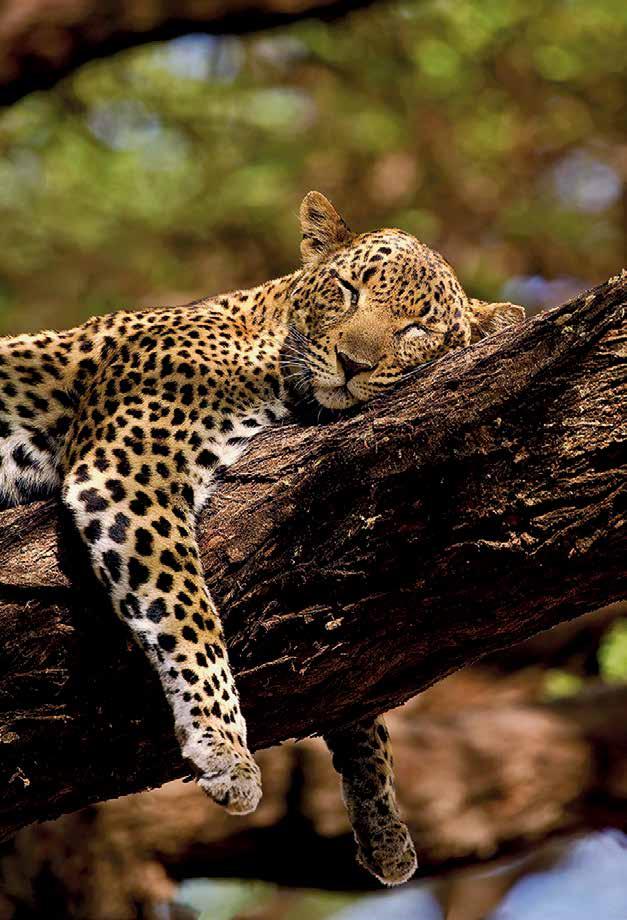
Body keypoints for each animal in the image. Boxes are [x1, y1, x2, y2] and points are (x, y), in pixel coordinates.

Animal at [0, 192, 524, 886]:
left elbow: (358, 678)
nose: (353, 363)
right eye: (350, 290)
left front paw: (383, 820)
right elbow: (186, 611)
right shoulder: (130, 466)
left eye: (416, 329)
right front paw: (224, 748)